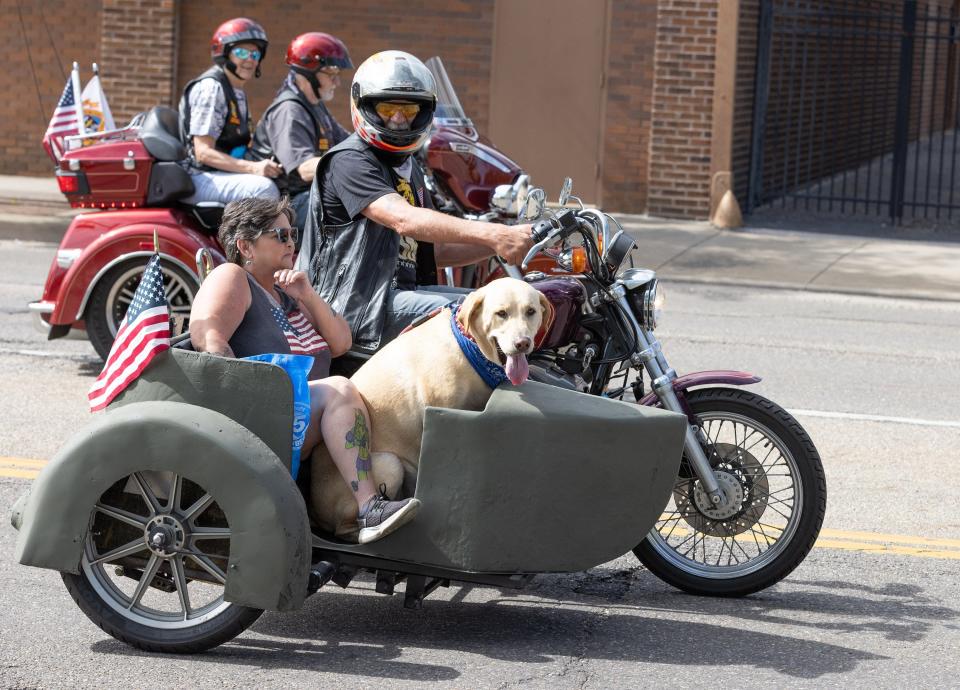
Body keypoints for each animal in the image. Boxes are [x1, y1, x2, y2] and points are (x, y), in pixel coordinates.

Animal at [312, 276, 552, 536]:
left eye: (531, 311)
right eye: (501, 313)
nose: (522, 343)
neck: (469, 346)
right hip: (387, 464)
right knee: (345, 528)